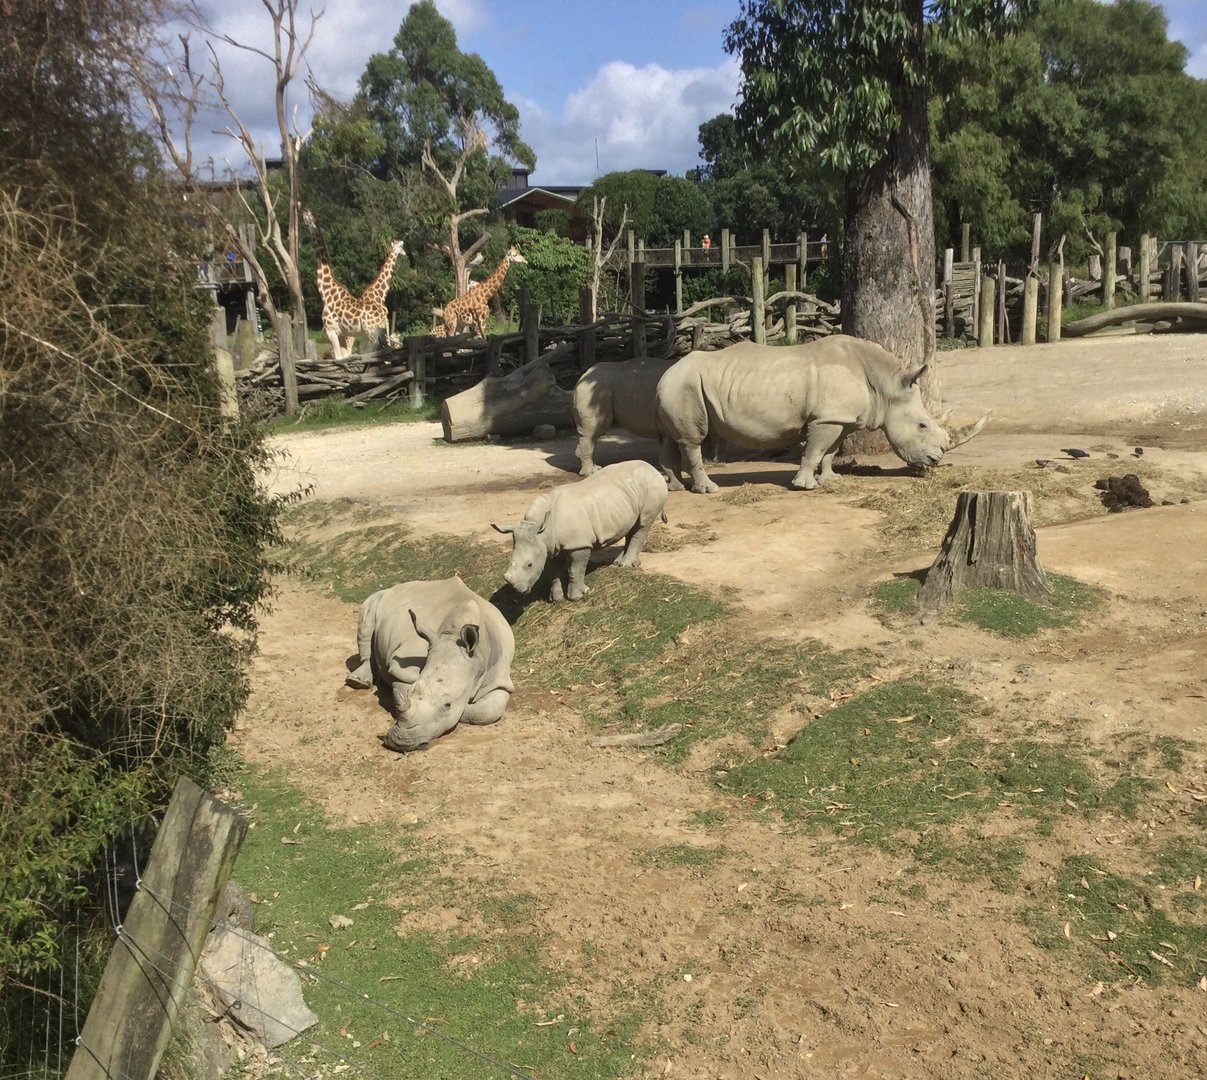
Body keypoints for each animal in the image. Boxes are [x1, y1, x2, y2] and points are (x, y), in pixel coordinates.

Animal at [302, 209, 405, 359]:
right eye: (401, 246)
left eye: (308, 216)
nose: (404, 252)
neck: (326, 293)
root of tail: (381, 318)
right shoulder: (338, 332)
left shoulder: (331, 330)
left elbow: (340, 358)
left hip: (371, 332)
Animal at [346, 576, 515, 753]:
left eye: (447, 705)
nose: (400, 742)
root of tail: (396, 587)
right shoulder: (403, 671)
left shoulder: (499, 679)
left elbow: (488, 711)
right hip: (379, 597)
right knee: (367, 615)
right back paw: (357, 681)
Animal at [492, 459, 668, 601]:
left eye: (529, 565)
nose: (515, 588)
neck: (542, 529)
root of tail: (653, 469)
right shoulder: (551, 545)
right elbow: (555, 571)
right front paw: (556, 599)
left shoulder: (579, 544)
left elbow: (575, 569)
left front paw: (578, 596)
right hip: (627, 495)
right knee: (632, 526)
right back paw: (619, 563)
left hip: (653, 487)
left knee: (643, 524)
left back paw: (625, 566)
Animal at [654, 335, 989, 493]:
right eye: (922, 425)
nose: (936, 460)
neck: (886, 386)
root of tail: (664, 375)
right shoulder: (826, 417)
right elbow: (815, 450)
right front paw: (804, 486)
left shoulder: (839, 418)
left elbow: (830, 451)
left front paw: (831, 480)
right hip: (686, 386)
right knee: (692, 439)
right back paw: (708, 490)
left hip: (677, 388)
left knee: (672, 439)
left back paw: (675, 487)